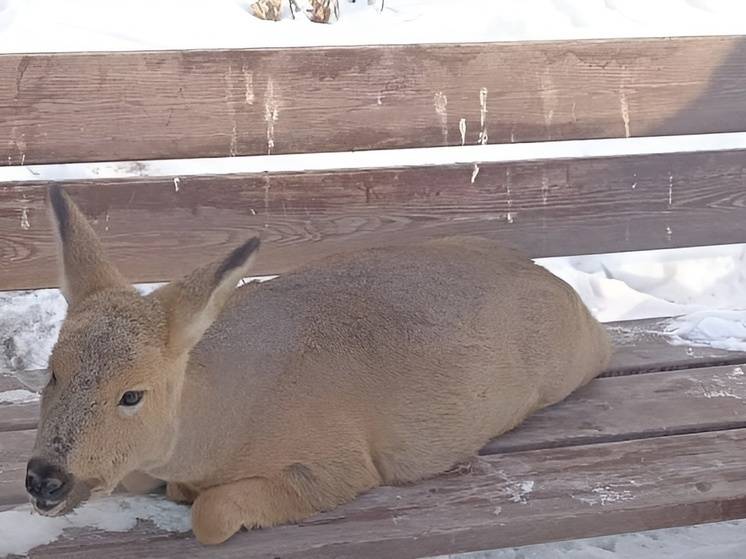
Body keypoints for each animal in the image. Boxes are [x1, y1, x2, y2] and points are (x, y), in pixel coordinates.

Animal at [27, 186, 612, 544]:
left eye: (132, 394)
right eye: (51, 372)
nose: (44, 479)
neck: (217, 424)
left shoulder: (340, 463)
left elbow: (210, 514)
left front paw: (191, 497)